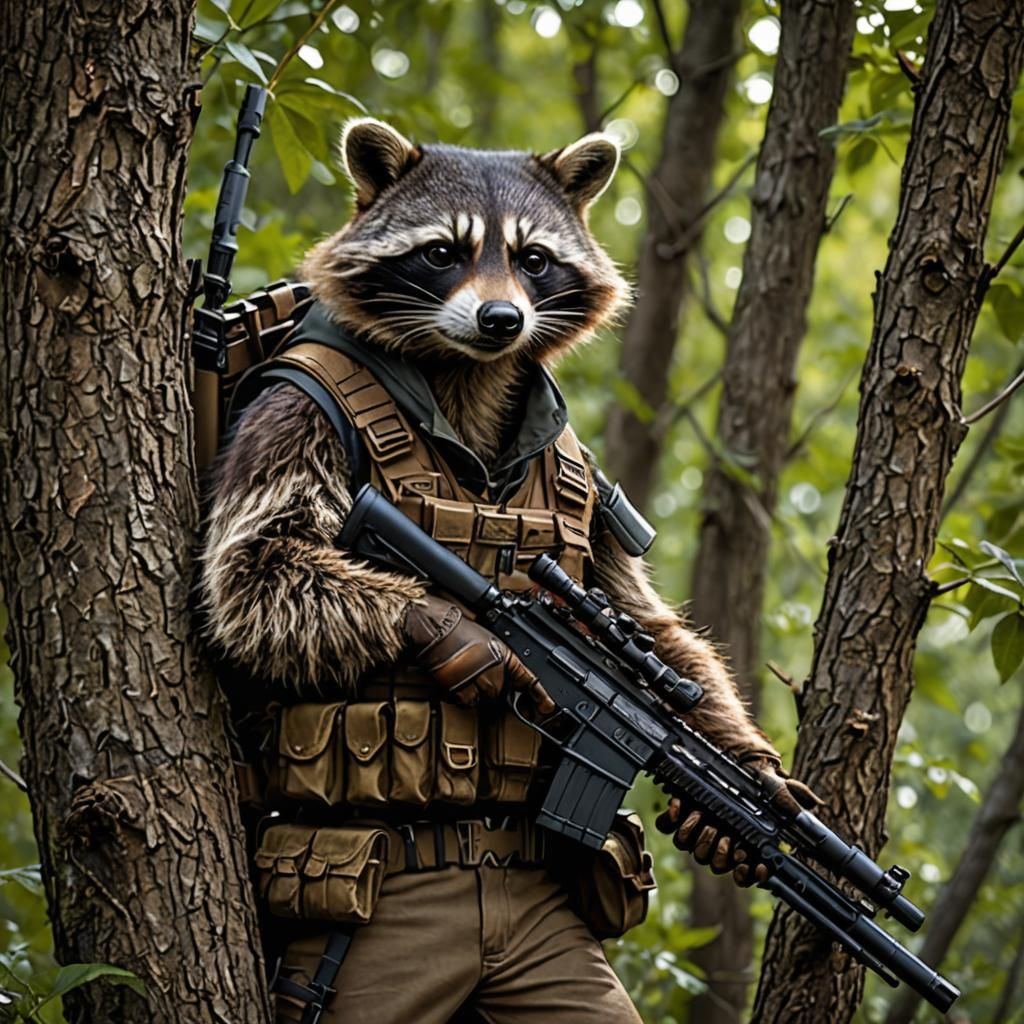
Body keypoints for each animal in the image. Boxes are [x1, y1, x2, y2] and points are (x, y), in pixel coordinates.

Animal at [199, 118, 778, 763]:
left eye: (534, 260)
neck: (468, 370)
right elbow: (256, 569)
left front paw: (759, 766)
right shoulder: (293, 412)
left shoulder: (588, 471)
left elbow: (637, 609)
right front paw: (456, 633)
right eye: (442, 253)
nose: (501, 319)